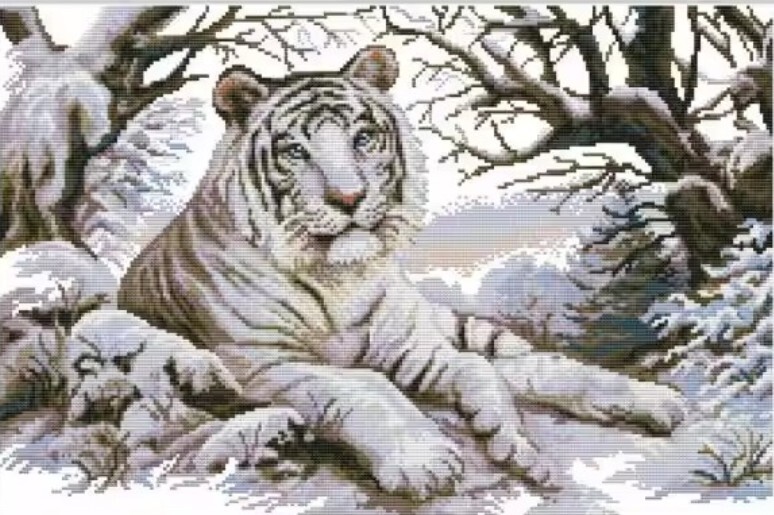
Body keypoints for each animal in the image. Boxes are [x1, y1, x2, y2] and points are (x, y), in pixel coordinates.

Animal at [118, 45, 688, 498]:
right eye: (295, 150)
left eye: (362, 138)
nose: (349, 198)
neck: (339, 278)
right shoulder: (260, 362)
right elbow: (362, 384)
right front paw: (427, 463)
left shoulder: (409, 346)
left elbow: (472, 370)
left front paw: (505, 436)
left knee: (534, 364)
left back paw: (656, 402)